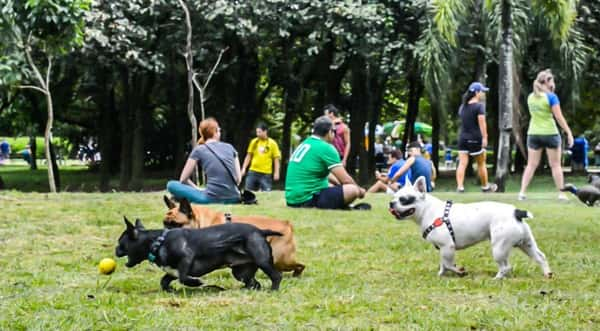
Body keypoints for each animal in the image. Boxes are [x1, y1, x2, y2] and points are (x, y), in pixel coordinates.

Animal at [118, 219, 286, 292]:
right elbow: (164, 280)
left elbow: (183, 277)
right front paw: (169, 289)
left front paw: (196, 283)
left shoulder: (186, 259)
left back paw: (273, 290)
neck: (157, 242)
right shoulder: (172, 270)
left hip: (262, 260)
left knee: (276, 276)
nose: (116, 250)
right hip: (241, 272)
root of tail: (261, 231)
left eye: (121, 243)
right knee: (253, 282)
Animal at [163, 197, 304, 278]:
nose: (165, 232)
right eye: (164, 223)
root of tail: (286, 224)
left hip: (280, 259)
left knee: (300, 266)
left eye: (177, 225)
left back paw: (296, 275)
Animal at [390, 176, 552, 280]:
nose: (391, 203)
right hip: (526, 243)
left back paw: (497, 278)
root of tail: (516, 212)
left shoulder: (447, 246)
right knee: (541, 257)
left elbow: (448, 264)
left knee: (506, 267)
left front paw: (459, 271)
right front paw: (441, 274)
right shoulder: (443, 249)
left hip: (499, 248)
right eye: (394, 196)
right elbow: (443, 264)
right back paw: (547, 274)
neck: (427, 210)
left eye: (404, 200)